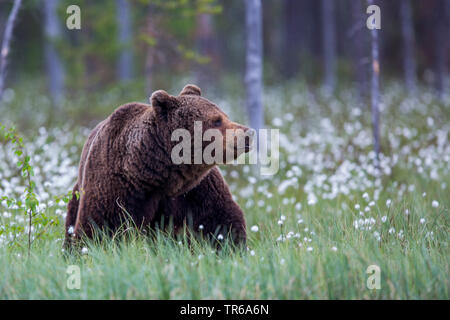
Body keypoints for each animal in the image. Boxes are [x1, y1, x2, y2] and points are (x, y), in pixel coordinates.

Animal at [64, 84, 251, 248]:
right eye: (216, 120)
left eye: (225, 115)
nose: (248, 133)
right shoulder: (114, 186)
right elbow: (100, 227)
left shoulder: (196, 187)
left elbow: (220, 219)